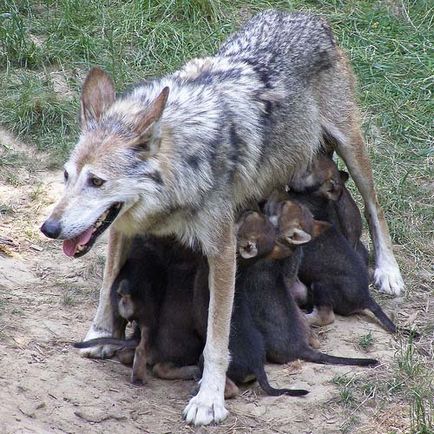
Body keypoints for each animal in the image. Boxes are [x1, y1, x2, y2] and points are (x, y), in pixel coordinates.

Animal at [40, 9, 404, 424]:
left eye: (97, 181)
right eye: (66, 176)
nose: (49, 228)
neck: (185, 166)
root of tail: (304, 15)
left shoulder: (223, 250)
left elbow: (217, 337)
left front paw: (209, 398)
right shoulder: (121, 227)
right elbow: (106, 284)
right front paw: (98, 334)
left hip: (351, 148)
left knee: (376, 208)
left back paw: (388, 272)